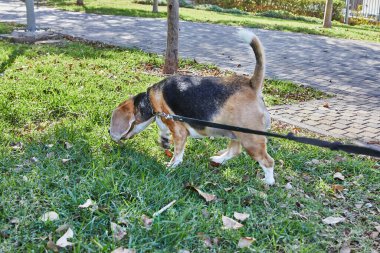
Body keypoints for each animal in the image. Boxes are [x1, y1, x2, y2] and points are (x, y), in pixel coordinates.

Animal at [108, 32, 274, 186]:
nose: (109, 132)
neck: (150, 99)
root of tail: (251, 84)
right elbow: (163, 130)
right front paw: (164, 140)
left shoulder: (179, 132)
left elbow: (177, 153)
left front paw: (171, 166)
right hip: (236, 134)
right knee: (235, 151)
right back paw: (218, 159)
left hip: (251, 140)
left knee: (268, 161)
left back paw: (268, 181)